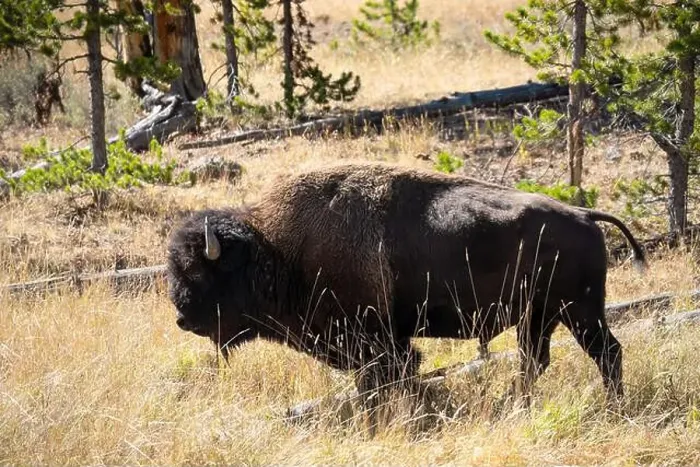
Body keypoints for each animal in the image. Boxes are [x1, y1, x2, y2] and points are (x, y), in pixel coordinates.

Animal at [167, 162, 645, 423]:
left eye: (201, 271)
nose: (182, 318)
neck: (276, 249)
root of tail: (585, 214)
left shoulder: (373, 339)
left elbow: (383, 378)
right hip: (541, 316)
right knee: (535, 361)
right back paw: (515, 405)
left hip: (580, 311)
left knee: (608, 353)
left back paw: (614, 410)